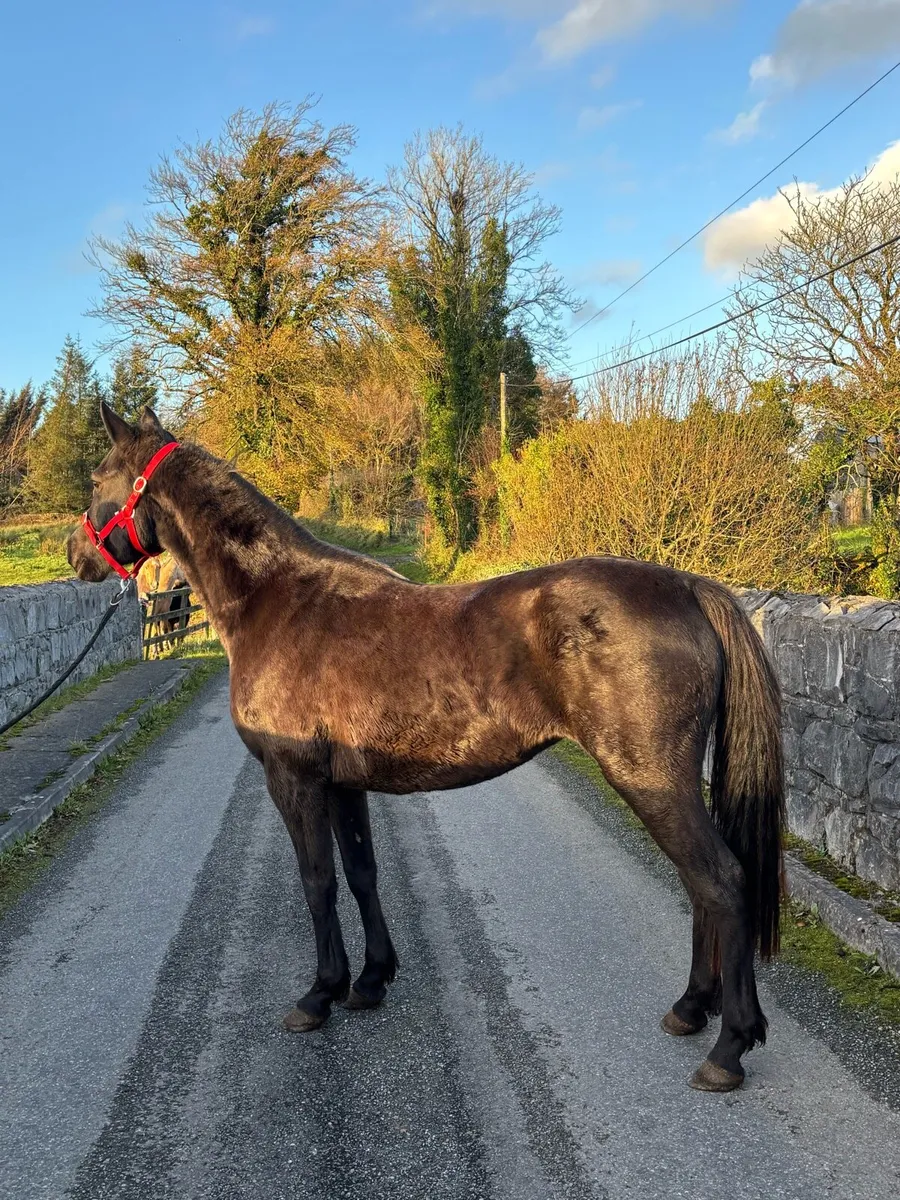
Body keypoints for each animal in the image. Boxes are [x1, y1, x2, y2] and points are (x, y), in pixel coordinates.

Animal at [67, 403, 785, 1093]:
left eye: (99, 478)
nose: (77, 555)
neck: (278, 600)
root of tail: (688, 587)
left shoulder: (292, 778)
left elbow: (317, 881)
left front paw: (319, 994)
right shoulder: (342, 783)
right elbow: (361, 873)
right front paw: (369, 981)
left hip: (650, 779)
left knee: (721, 881)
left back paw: (728, 1047)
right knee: (701, 887)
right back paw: (690, 1009)